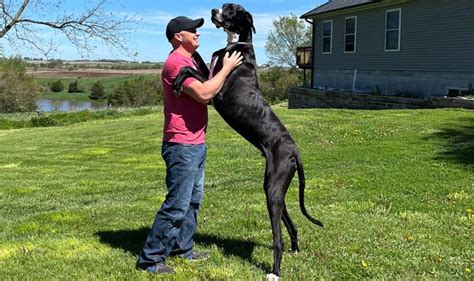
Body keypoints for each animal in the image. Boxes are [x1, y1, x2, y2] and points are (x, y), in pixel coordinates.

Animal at [172, 3, 324, 278]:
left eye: (231, 10)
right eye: (224, 6)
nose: (213, 10)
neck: (237, 45)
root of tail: (295, 151)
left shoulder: (216, 92)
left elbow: (189, 69)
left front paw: (178, 82)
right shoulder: (210, 75)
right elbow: (196, 62)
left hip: (273, 188)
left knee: (278, 238)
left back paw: (275, 271)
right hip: (275, 188)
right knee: (290, 223)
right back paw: (295, 249)